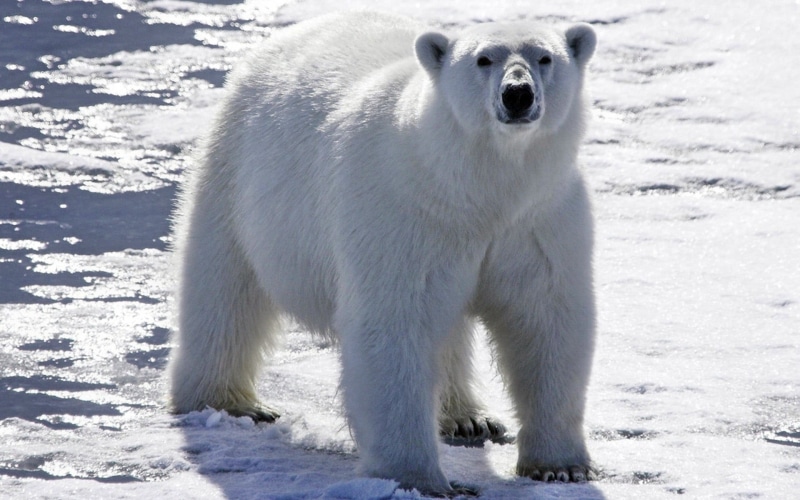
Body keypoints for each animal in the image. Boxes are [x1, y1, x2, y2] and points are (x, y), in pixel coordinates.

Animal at [168, 11, 597, 496]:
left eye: (544, 57)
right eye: (484, 59)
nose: (518, 94)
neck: (473, 187)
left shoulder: (539, 219)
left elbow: (546, 321)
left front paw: (560, 466)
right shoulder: (404, 210)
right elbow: (396, 324)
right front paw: (422, 479)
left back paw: (468, 418)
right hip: (238, 177)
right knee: (223, 290)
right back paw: (229, 402)